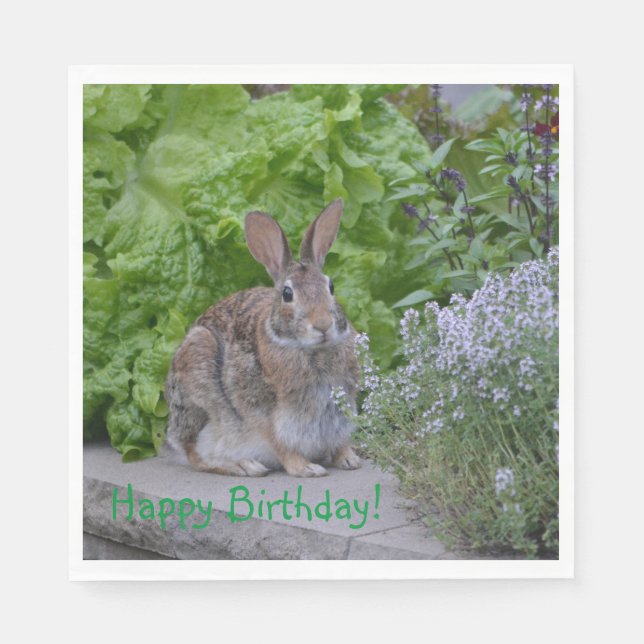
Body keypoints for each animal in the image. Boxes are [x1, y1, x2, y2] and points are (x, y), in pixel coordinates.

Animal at [165, 199, 361, 477]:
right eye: (288, 294)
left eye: (331, 286)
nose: (323, 324)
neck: (311, 349)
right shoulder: (264, 414)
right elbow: (280, 443)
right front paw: (306, 468)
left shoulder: (342, 410)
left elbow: (340, 440)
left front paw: (348, 458)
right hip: (199, 377)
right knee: (195, 454)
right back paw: (244, 466)